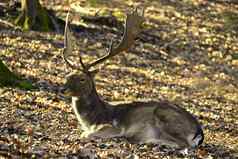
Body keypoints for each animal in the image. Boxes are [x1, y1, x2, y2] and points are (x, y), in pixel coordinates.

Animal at [62, 9, 204, 149]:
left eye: (82, 79)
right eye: (67, 76)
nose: (63, 89)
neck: (94, 119)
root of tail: (199, 132)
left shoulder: (114, 127)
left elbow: (85, 134)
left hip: (166, 116)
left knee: (185, 145)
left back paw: (148, 140)